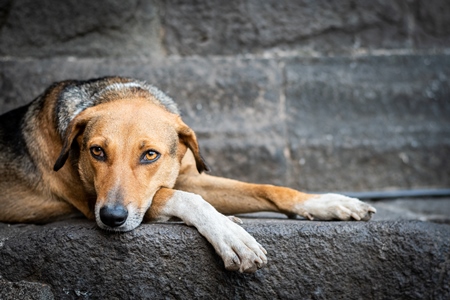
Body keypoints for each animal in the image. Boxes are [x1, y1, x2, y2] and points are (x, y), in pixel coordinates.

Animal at [0, 76, 376, 274]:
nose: (111, 218)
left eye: (150, 155)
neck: (121, 90)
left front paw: (327, 203)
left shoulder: (190, 178)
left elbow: (269, 189)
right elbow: (182, 197)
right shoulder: (95, 198)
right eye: (96, 152)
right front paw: (229, 233)